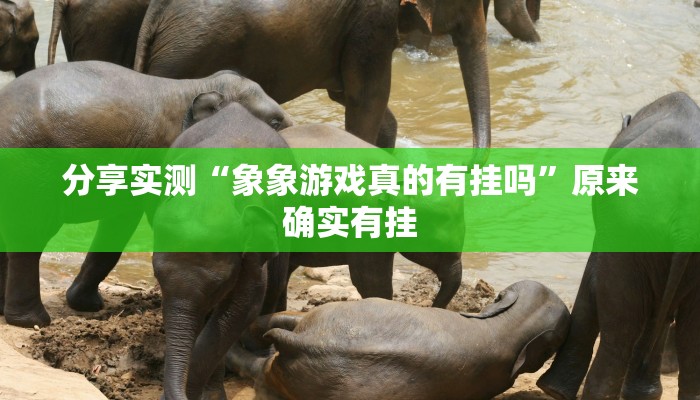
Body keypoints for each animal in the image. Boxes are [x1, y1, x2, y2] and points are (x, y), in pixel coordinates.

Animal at [0, 60, 292, 328]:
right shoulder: (163, 153)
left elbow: (120, 219)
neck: (197, 85)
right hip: (30, 167)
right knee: (32, 233)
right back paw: (31, 321)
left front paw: (86, 305)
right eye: (276, 122)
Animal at [537, 92, 700, 400]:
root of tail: (686, 217)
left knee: (620, 331)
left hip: (631, 231)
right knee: (688, 335)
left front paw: (553, 391)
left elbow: (592, 278)